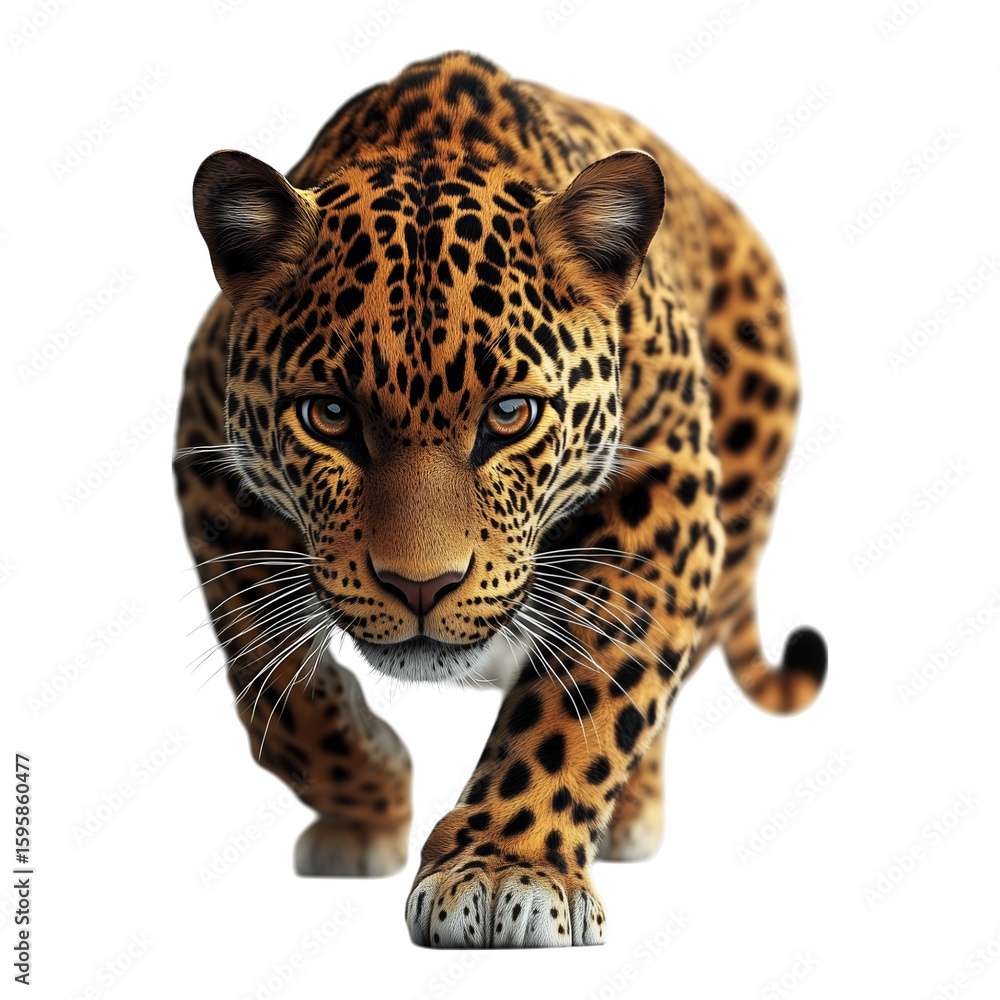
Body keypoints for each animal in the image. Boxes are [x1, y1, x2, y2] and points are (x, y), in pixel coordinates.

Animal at [173, 50, 827, 949]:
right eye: (329, 416)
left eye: (510, 415)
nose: (420, 587)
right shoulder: (210, 471)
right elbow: (275, 688)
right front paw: (370, 805)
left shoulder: (667, 488)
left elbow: (590, 695)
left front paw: (504, 868)